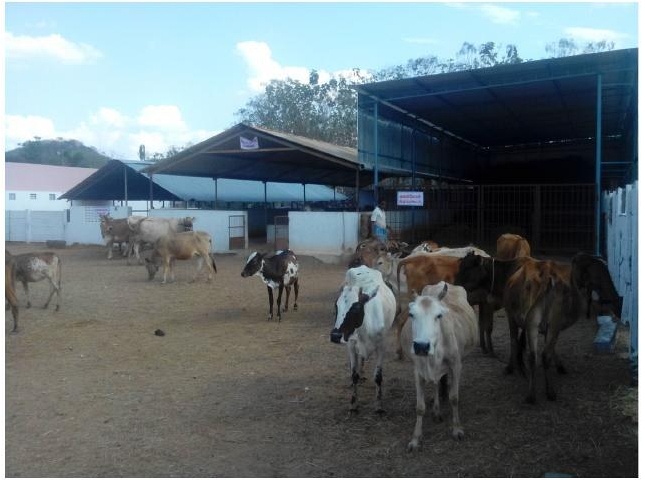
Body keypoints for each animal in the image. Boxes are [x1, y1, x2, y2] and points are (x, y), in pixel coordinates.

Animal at [330, 265, 397, 412]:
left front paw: (379, 405)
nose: (335, 336)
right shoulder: (351, 346)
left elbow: (378, 377)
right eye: (336, 306)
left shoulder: (382, 347)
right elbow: (354, 375)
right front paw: (353, 404)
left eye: (356, 308)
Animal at [400, 281, 478, 451]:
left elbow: (454, 398)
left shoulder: (456, 365)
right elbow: (420, 407)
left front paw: (457, 429)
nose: (421, 346)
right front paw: (416, 438)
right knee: (436, 384)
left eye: (439, 315)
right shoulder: (418, 371)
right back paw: (436, 411)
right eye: (411, 315)